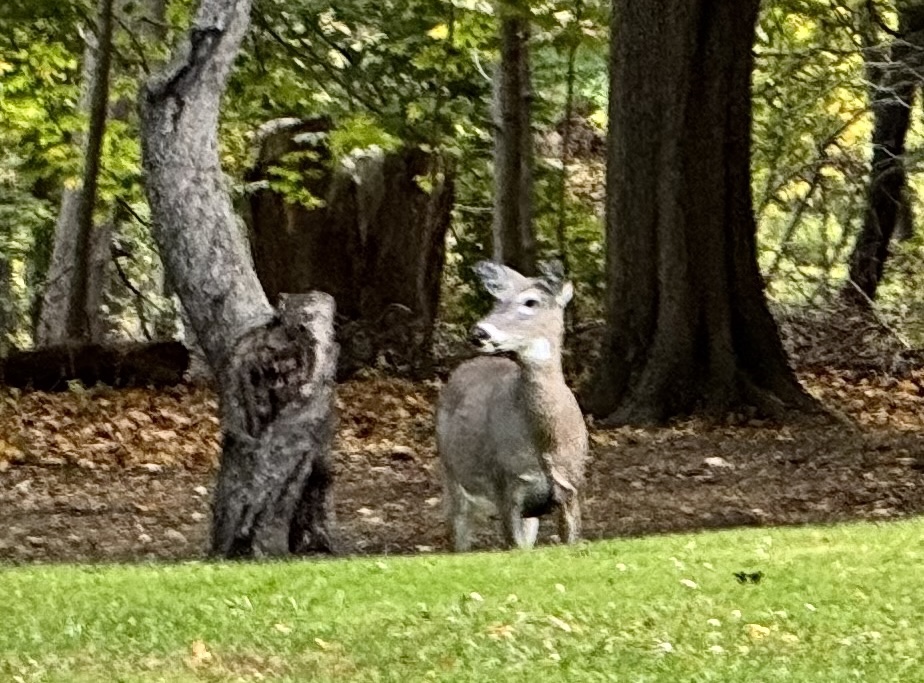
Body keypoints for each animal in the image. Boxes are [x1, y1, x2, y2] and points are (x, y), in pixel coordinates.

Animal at [436, 260, 588, 551]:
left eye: (531, 302)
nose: (479, 332)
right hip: (452, 477)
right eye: (497, 301)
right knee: (457, 537)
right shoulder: (506, 485)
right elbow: (513, 544)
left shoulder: (571, 488)